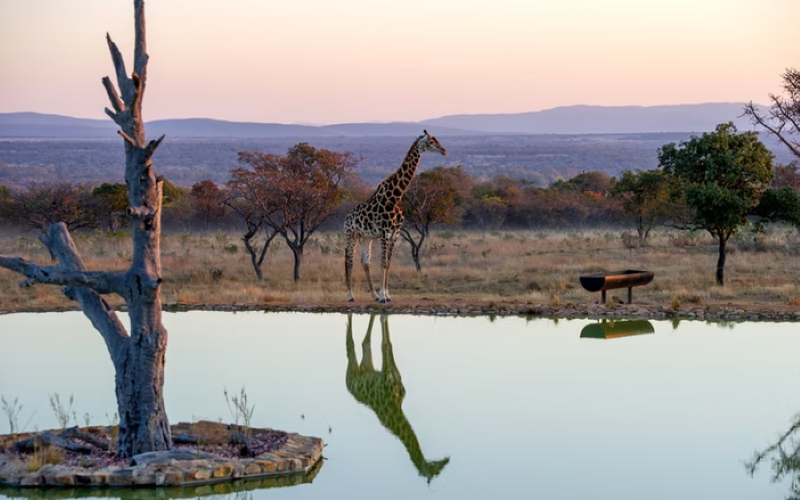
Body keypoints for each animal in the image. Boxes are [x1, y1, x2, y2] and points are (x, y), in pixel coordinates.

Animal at [344, 131, 448, 302]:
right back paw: (350, 295)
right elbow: (382, 263)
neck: (395, 198)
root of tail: (346, 217)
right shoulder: (384, 233)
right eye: (431, 142)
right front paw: (382, 297)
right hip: (350, 234)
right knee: (349, 260)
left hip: (366, 237)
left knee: (365, 262)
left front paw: (386, 295)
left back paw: (372, 295)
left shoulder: (395, 234)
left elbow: (388, 264)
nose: (444, 151)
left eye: (437, 140)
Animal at [345, 313, 450, 483]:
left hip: (367, 366)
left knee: (365, 343)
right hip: (352, 370)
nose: (445, 461)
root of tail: (348, 386)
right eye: (435, 471)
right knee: (350, 346)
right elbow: (384, 343)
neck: (395, 403)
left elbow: (388, 344)